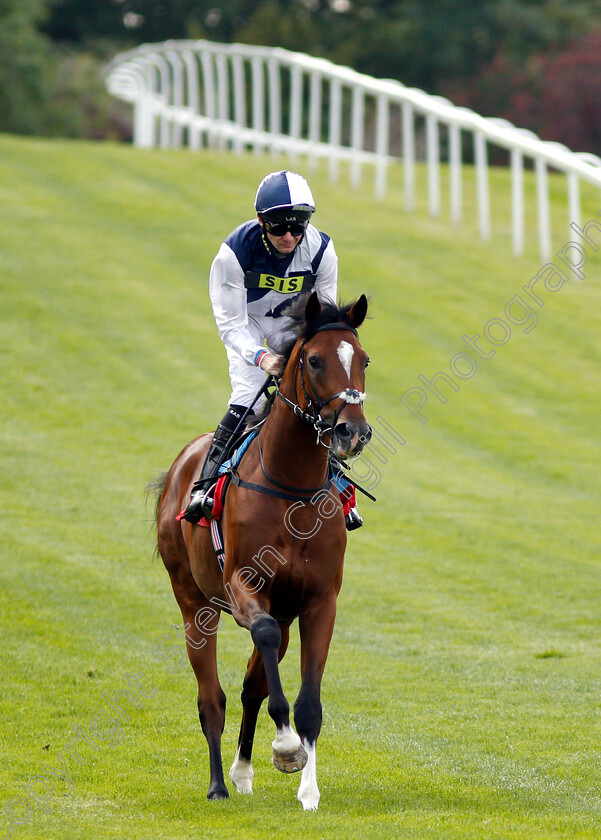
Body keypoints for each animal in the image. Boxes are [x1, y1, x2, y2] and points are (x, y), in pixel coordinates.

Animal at [154, 292, 370, 812]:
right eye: (314, 360)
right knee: (211, 699)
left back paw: (242, 770)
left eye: (364, 360)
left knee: (252, 683)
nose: (353, 432)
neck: (291, 487)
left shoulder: (318, 601)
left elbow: (307, 702)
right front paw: (287, 746)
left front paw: (308, 789)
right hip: (193, 605)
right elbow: (263, 646)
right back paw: (218, 783)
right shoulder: (244, 586)